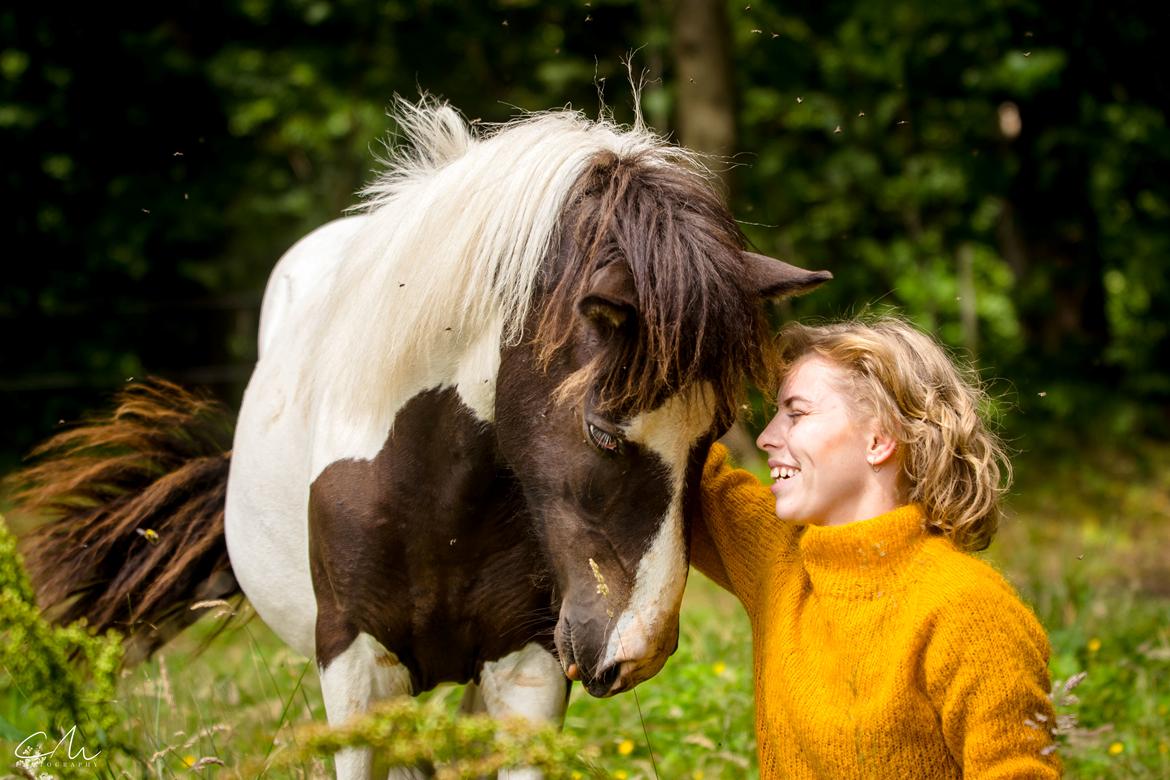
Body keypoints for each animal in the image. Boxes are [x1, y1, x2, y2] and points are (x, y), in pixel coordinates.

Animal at [13, 95, 828, 776]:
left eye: (711, 435)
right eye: (601, 432)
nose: (636, 655)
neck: (430, 488)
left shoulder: (526, 672)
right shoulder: (355, 673)